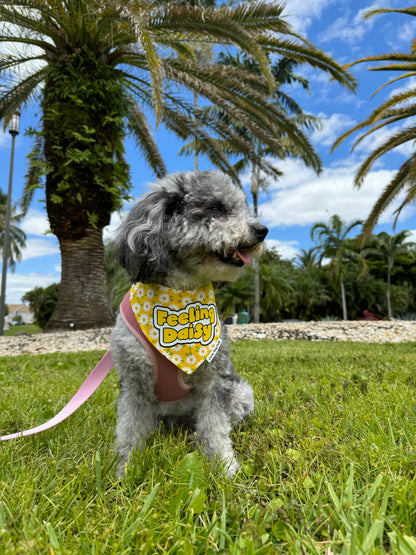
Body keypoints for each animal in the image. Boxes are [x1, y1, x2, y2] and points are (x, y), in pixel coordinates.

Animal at [110, 170, 268, 478]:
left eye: (241, 207)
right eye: (217, 208)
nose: (262, 230)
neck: (179, 300)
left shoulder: (213, 379)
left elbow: (216, 427)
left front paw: (224, 466)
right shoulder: (134, 383)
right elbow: (129, 428)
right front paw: (125, 468)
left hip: (240, 391)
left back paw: (195, 438)